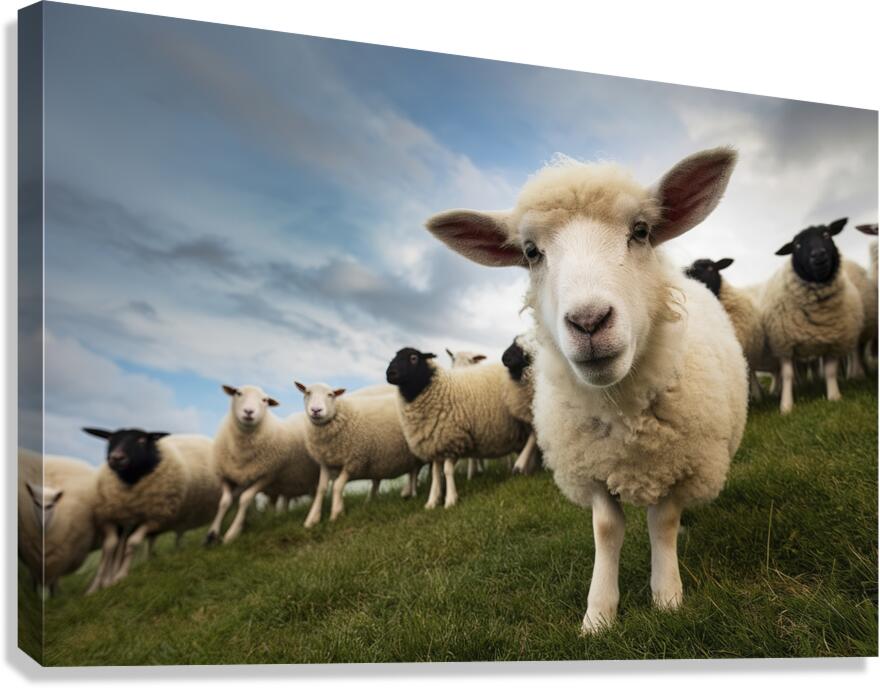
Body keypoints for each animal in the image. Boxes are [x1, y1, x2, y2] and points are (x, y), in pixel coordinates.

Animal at [82, 428, 220, 591]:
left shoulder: (153, 518)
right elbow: (111, 547)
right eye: (110, 439)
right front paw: (98, 585)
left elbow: (132, 543)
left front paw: (119, 576)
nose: (116, 458)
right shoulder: (112, 517)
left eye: (141, 440)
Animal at [206, 384, 319, 544]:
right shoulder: (228, 475)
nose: (249, 411)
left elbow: (245, 499)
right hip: (286, 483)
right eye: (238, 393)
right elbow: (224, 502)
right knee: (283, 500)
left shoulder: (266, 476)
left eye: (264, 400)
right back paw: (277, 517)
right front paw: (212, 534)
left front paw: (231, 534)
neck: (242, 452)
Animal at [295, 382, 423, 527]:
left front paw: (336, 514)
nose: (316, 410)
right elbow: (321, 490)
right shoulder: (326, 462)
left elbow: (337, 486)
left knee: (415, 471)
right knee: (413, 471)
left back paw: (411, 493)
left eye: (330, 394)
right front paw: (312, 519)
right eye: (307, 392)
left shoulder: (354, 461)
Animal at [385, 350, 531, 509]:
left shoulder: (453, 440)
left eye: (413, 358)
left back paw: (521, 465)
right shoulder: (435, 443)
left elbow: (447, 470)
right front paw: (432, 501)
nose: (390, 373)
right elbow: (436, 474)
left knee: (534, 437)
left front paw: (450, 499)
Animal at [761, 218, 864, 413]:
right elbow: (787, 375)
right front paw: (786, 406)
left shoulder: (833, 342)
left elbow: (830, 372)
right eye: (797, 245)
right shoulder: (784, 344)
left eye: (826, 234)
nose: (818, 255)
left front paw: (834, 397)